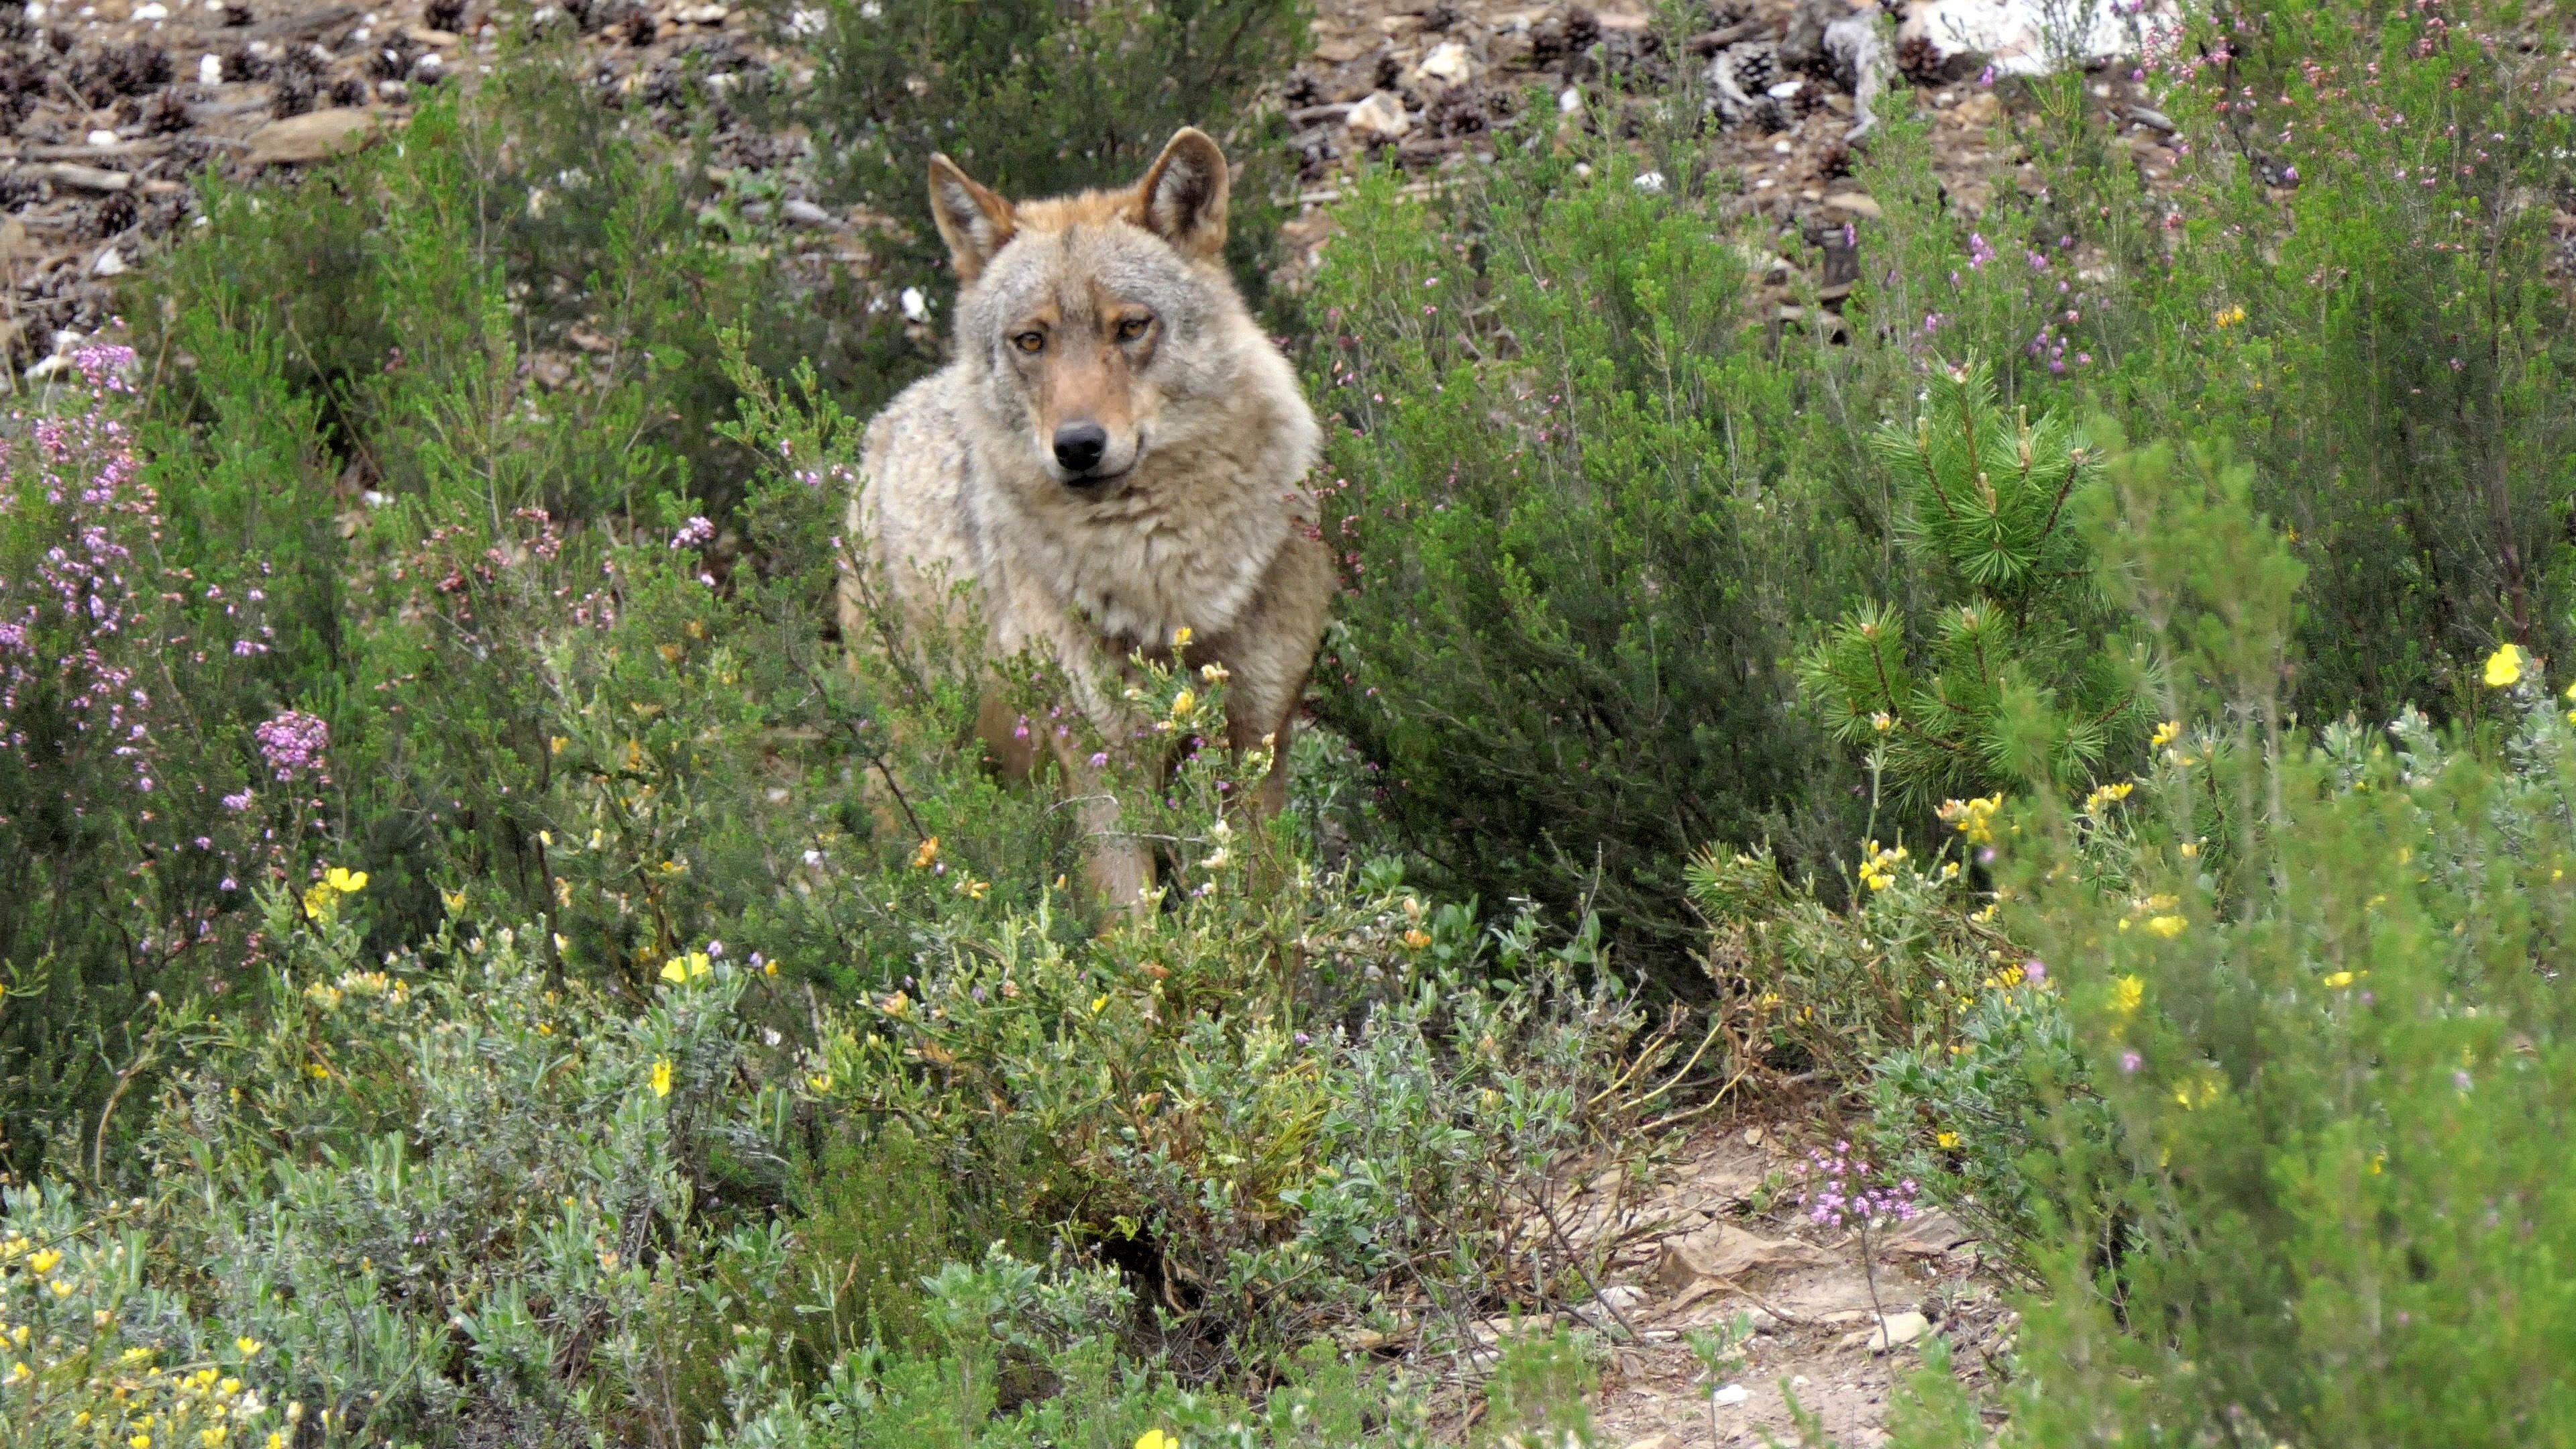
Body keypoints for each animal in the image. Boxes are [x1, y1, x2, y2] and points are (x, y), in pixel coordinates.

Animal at [839, 129, 1329, 907]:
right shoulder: (1103, 768)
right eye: (1030, 341)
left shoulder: (1258, 746)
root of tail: (889, 419)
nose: (1076, 447)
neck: (1168, 579)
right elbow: (1133, 935)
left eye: (1130, 328)